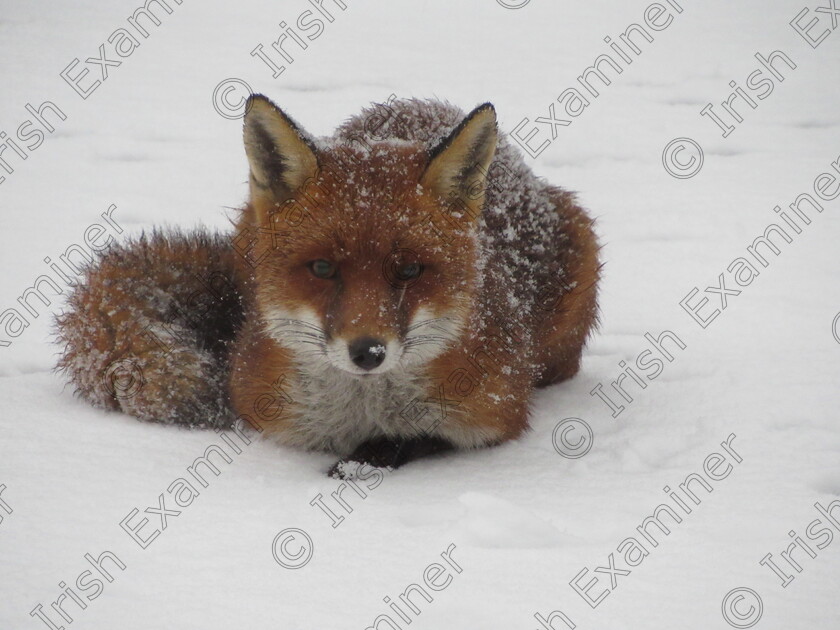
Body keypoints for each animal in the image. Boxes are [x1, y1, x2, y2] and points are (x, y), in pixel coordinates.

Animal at [55, 96, 600, 476]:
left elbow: (415, 439)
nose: (368, 352)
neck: (361, 410)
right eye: (321, 269)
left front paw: (364, 460)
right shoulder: (265, 410)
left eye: (409, 271)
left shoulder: (494, 413)